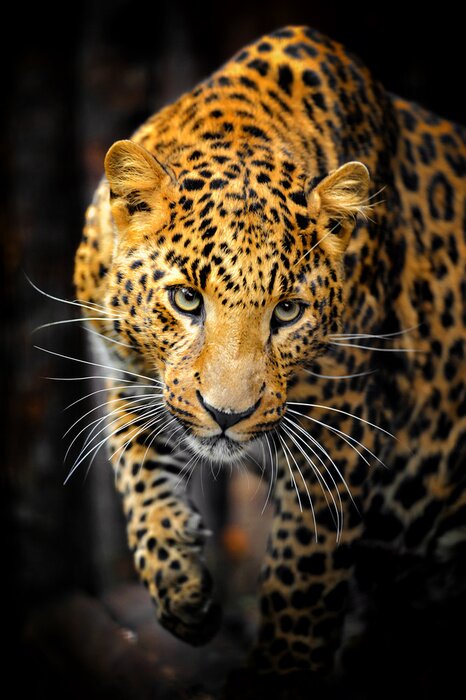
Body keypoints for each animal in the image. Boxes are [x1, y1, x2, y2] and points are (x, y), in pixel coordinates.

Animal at [73, 25, 466, 678]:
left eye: (287, 311)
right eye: (186, 299)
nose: (226, 416)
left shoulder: (340, 428)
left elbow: (301, 579)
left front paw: (282, 668)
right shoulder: (125, 371)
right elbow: (138, 468)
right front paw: (180, 584)